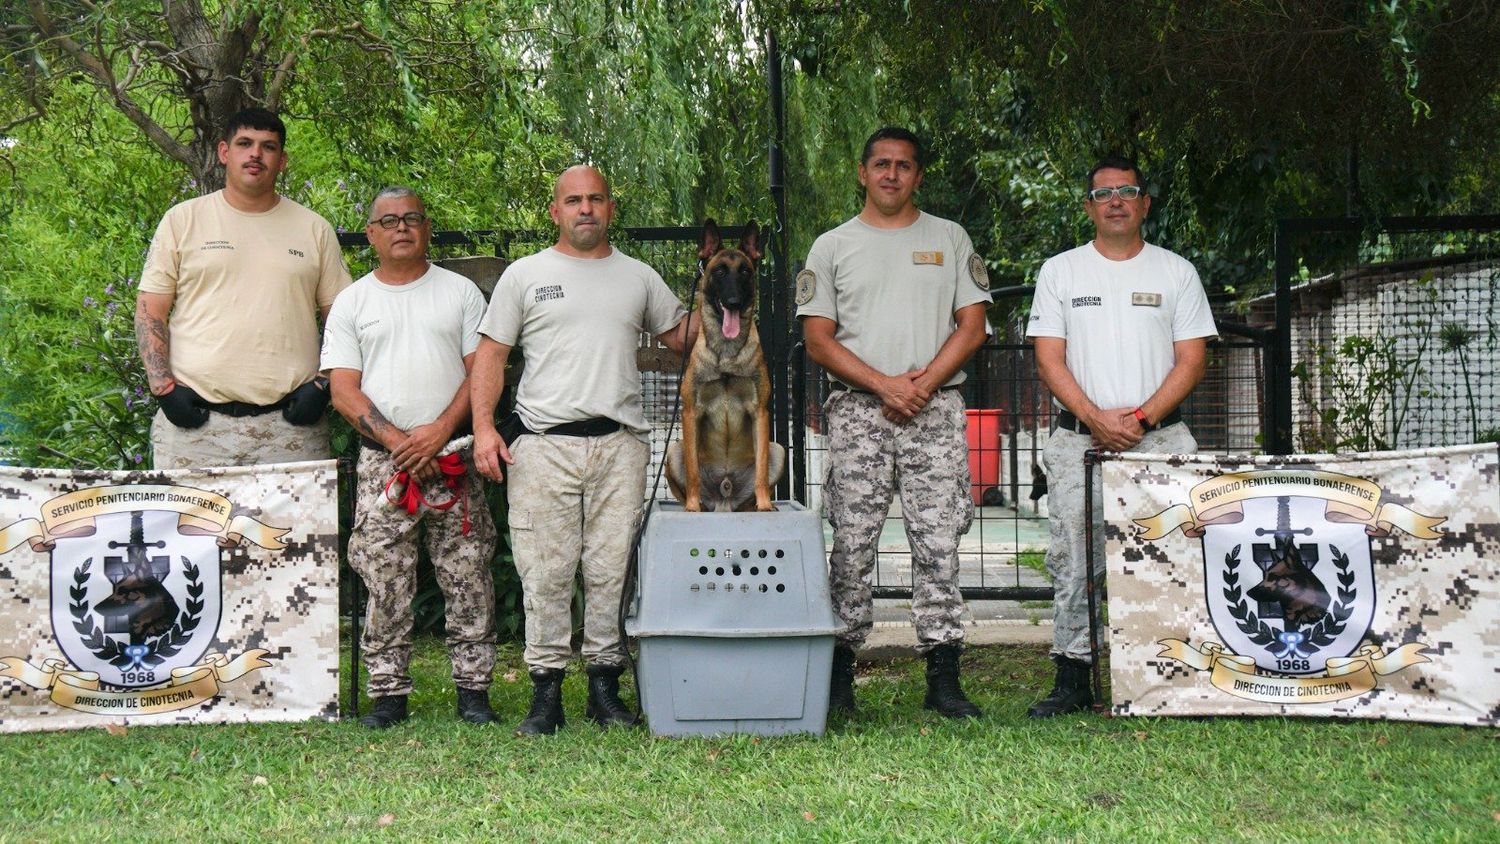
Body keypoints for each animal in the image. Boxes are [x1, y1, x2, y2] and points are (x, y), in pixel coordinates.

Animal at [666, 217, 786, 512]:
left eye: (745, 272)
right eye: (719, 272)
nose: (733, 302)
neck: (727, 353)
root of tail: (725, 496)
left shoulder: (760, 412)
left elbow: (761, 470)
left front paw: (765, 506)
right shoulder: (691, 413)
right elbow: (693, 472)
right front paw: (692, 508)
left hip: (778, 449)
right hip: (674, 450)